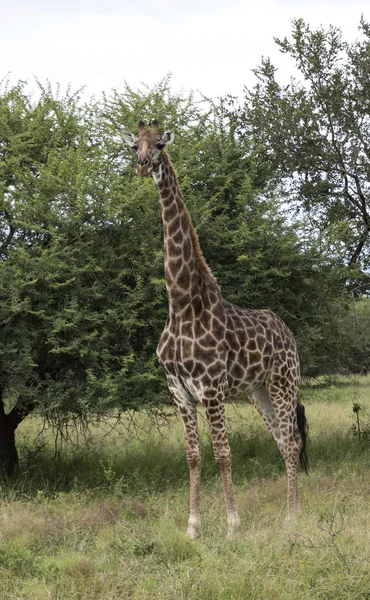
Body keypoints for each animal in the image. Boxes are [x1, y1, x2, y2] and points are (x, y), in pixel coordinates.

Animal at [123, 118, 308, 540]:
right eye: (134, 145)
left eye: (160, 144)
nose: (143, 165)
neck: (181, 304)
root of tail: (288, 333)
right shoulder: (179, 391)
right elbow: (193, 456)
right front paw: (192, 526)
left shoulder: (210, 388)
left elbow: (223, 454)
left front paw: (232, 524)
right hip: (258, 391)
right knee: (281, 440)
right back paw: (290, 512)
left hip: (284, 382)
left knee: (292, 441)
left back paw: (293, 517)